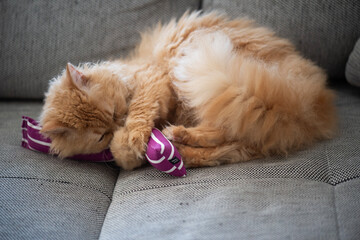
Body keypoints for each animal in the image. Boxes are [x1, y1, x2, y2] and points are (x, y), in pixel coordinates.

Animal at [40, 10, 338, 169]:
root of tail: (311, 102)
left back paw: (175, 140)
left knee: (222, 134)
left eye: (114, 112)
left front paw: (129, 143)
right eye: (101, 136)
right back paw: (178, 142)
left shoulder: (153, 81)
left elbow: (139, 113)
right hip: (247, 123)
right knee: (224, 144)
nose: (116, 124)